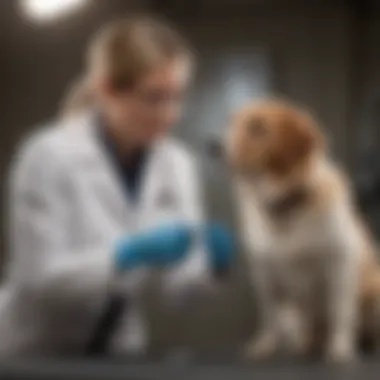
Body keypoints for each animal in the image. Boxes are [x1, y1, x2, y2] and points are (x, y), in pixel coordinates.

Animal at [226, 98, 380, 362]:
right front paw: (265, 344)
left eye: (258, 127)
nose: (213, 144)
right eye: (233, 122)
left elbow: (340, 311)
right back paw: (305, 344)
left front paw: (339, 349)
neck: (285, 207)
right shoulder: (264, 274)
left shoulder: (340, 264)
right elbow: (269, 316)